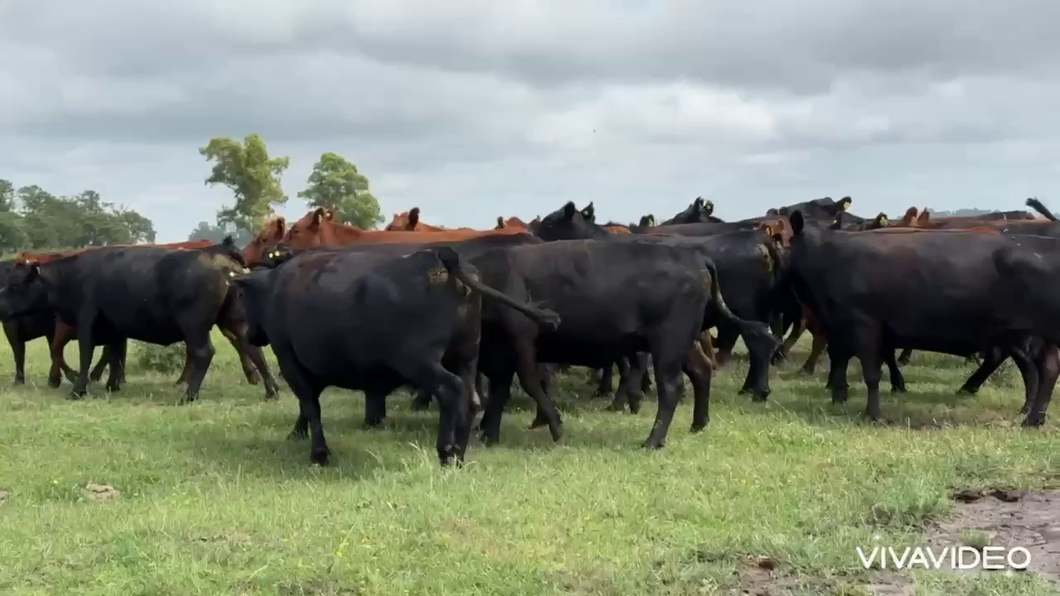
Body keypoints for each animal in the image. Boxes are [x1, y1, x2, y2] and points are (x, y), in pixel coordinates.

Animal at [0, 238, 277, 400]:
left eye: (14, 286)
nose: (0, 307)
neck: (74, 276)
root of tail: (220, 257)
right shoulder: (114, 328)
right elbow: (114, 355)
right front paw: (112, 385)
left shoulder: (86, 321)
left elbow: (86, 355)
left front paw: (78, 390)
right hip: (233, 320)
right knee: (252, 350)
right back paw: (271, 391)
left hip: (195, 325)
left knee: (203, 353)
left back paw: (189, 395)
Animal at [231, 244, 559, 464]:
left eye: (242, 296)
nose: (248, 334)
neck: (276, 288)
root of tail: (442, 259)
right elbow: (308, 405)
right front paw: (298, 434)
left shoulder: (290, 359)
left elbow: (310, 405)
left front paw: (319, 453)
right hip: (465, 357)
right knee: (470, 398)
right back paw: (459, 452)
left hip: (421, 362)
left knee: (450, 391)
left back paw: (446, 451)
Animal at [788, 209, 1060, 422]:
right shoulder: (840, 325)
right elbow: (841, 360)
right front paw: (839, 398)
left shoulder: (863, 322)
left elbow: (872, 374)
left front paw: (873, 414)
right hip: (1024, 334)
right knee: (1040, 368)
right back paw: (1031, 416)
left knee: (1041, 369)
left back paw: (1029, 415)